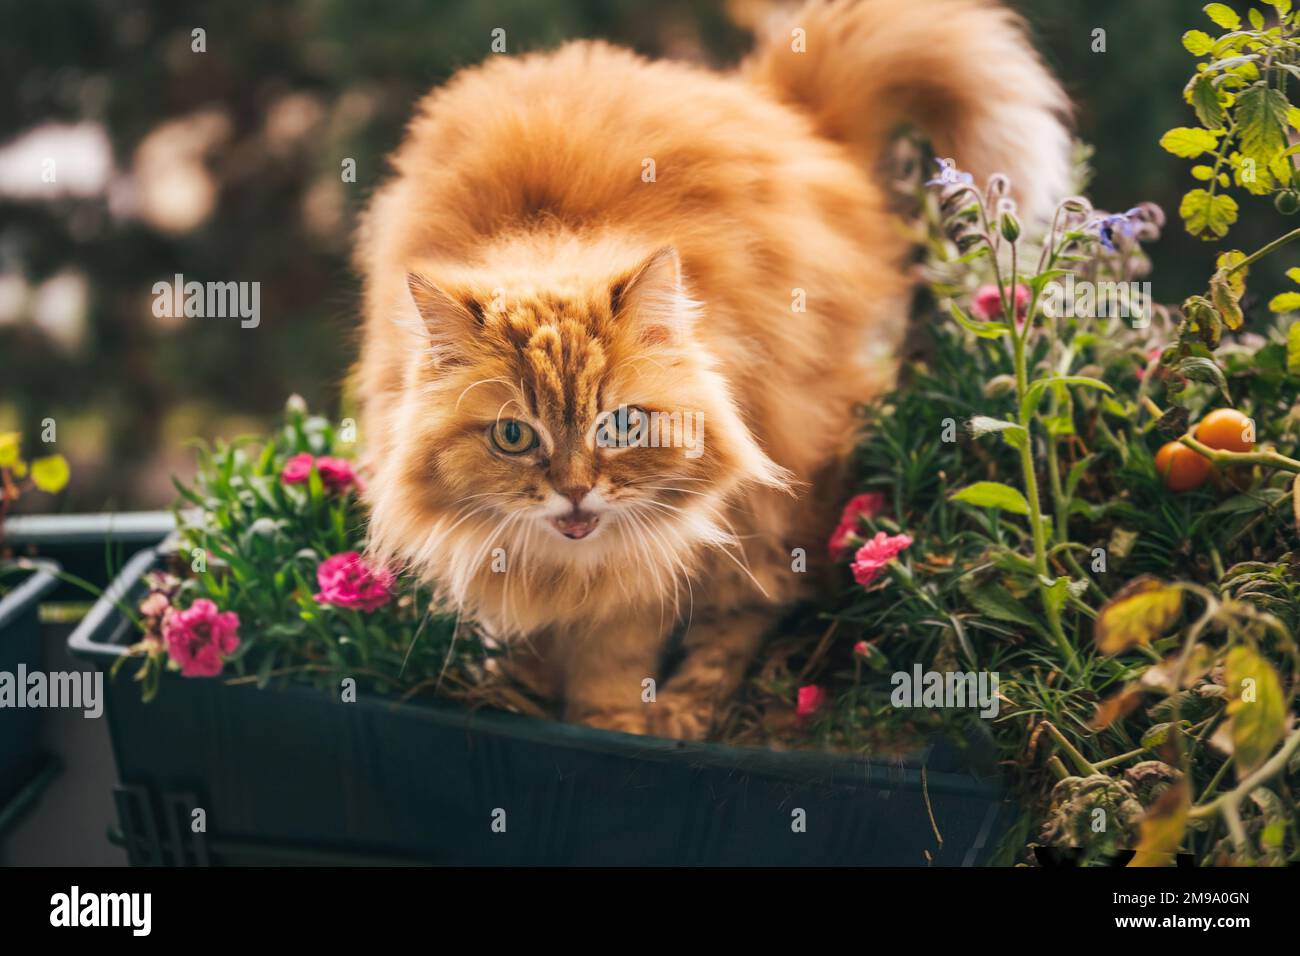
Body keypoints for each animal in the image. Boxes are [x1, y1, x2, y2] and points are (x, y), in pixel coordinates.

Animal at [356, 0, 1066, 738]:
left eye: (620, 426)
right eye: (514, 436)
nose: (575, 491)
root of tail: (786, 113)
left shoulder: (650, 556)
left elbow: (615, 658)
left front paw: (610, 727)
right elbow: (527, 633)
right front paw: (519, 691)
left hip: (783, 474)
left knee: (756, 605)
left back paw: (683, 713)